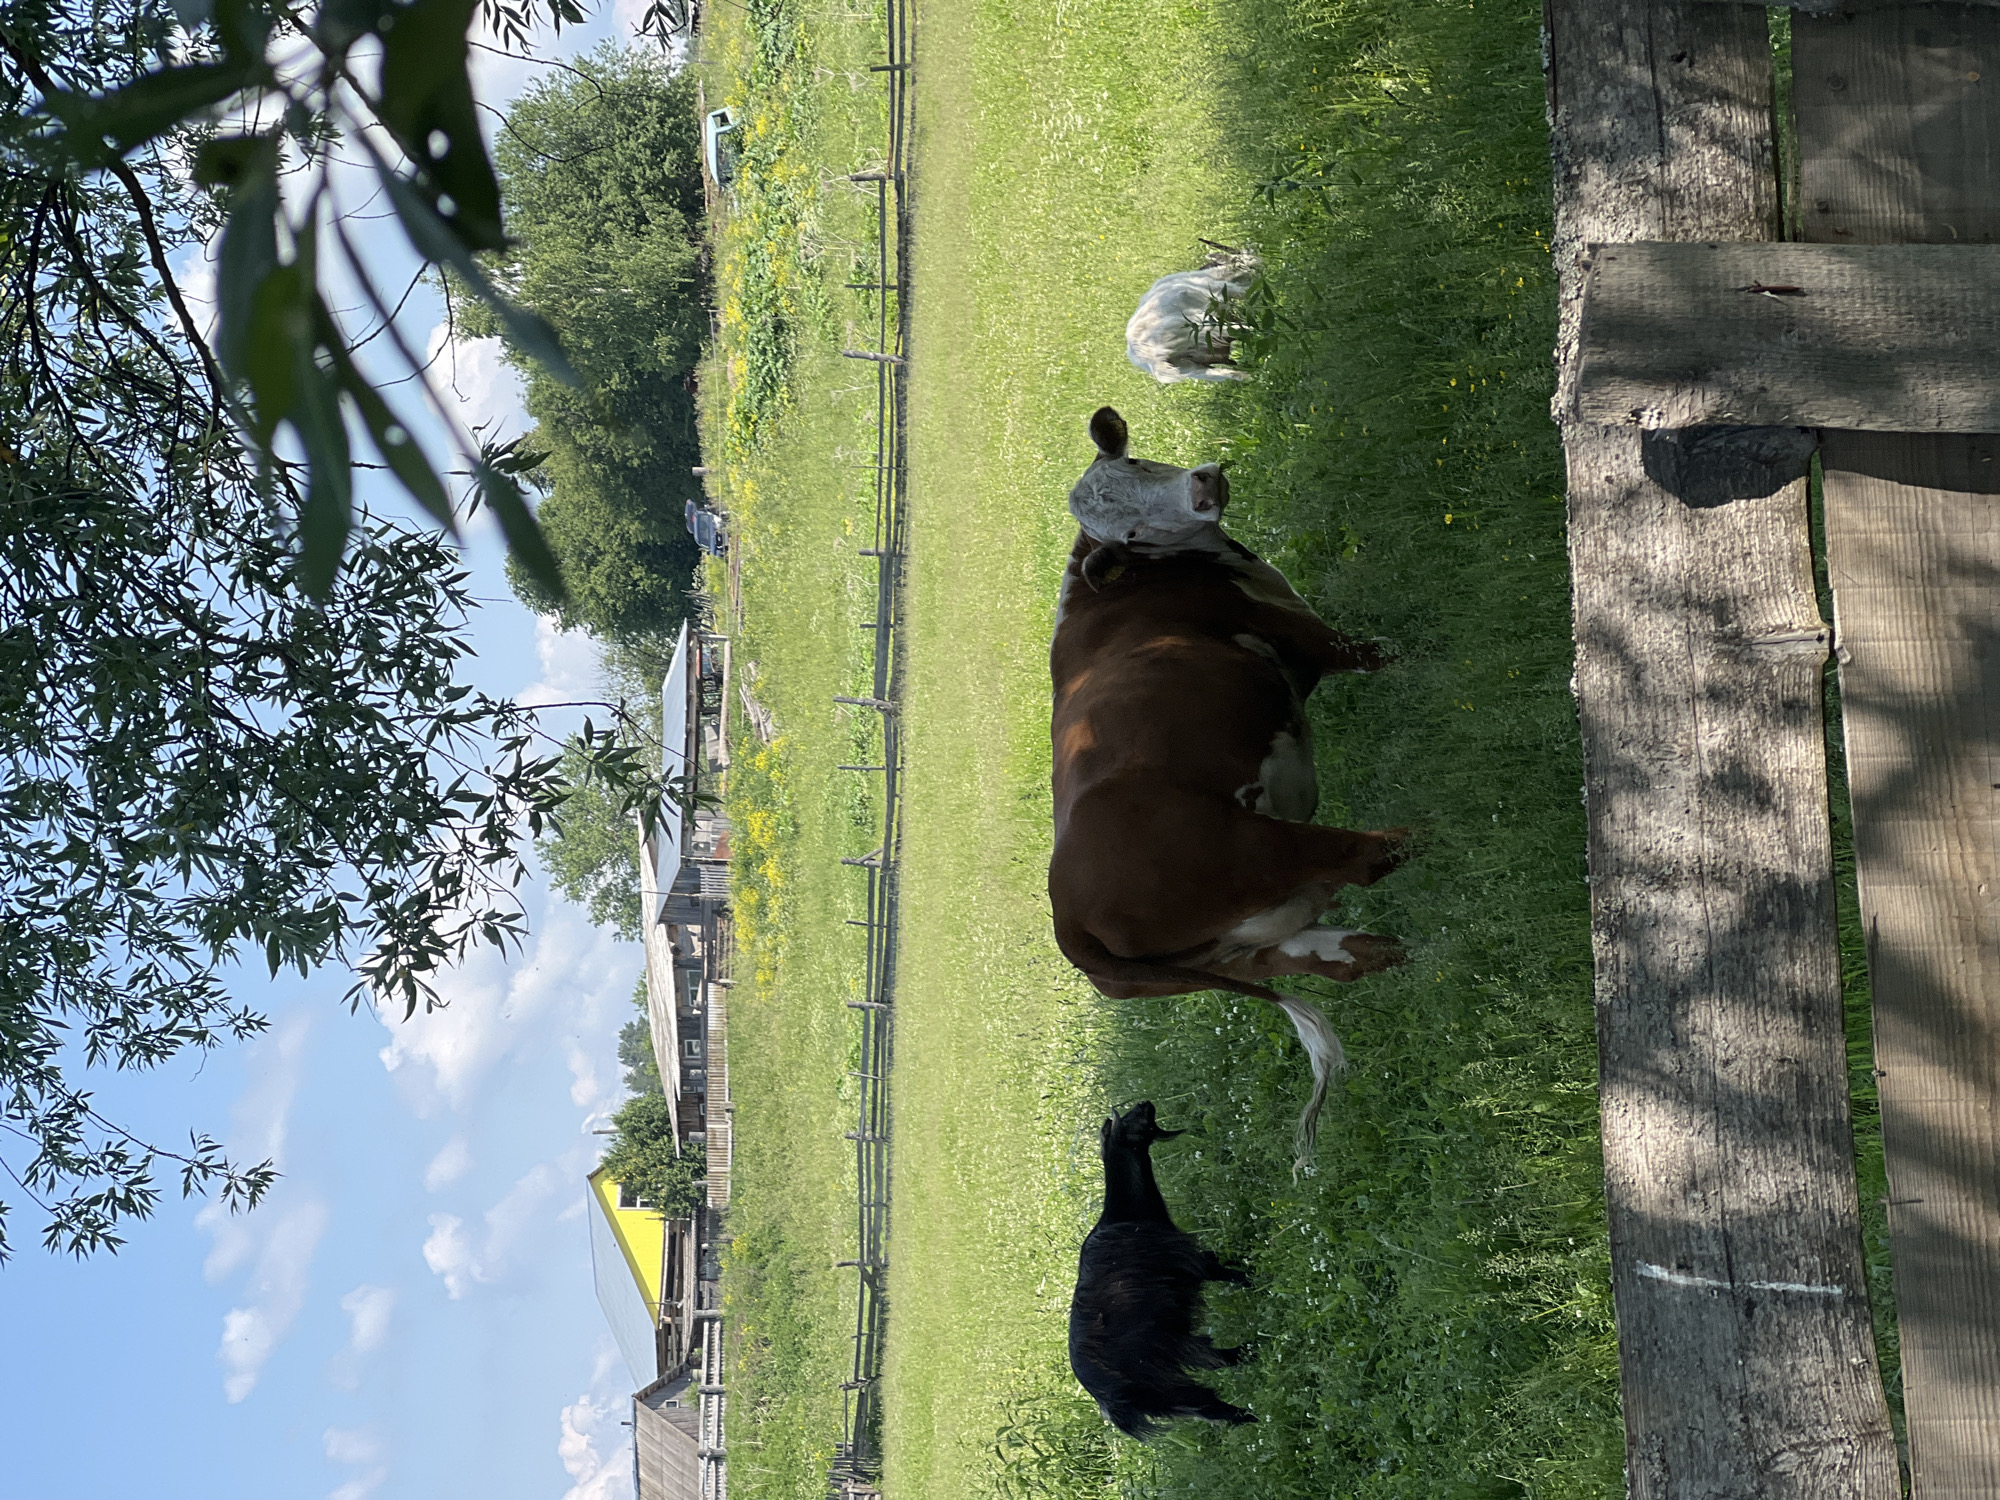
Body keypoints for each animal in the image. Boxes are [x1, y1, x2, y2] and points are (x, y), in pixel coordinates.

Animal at [1049, 406, 1409, 1167]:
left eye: (1134, 465)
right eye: (1127, 533)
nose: (1203, 485)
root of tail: (1068, 923)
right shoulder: (1301, 633)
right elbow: (1383, 653)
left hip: (1241, 943)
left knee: (1312, 953)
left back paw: (1381, 950)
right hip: (1258, 846)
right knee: (1367, 857)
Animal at [1068, 1101, 1255, 1438]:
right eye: (1132, 1120)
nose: (1146, 1103)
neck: (1129, 1214)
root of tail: (1106, 1400)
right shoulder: (1189, 1261)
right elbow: (1230, 1275)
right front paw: (1260, 1276)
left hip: (1163, 1385)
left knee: (1214, 1387)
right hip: (1163, 1367)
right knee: (1215, 1387)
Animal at [1124, 246, 1263, 384]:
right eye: (1246, 256)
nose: (1261, 262)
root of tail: (1150, 359)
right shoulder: (1224, 289)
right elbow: (1246, 293)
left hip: (1191, 367)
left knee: (1228, 374)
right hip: (1199, 327)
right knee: (1239, 330)